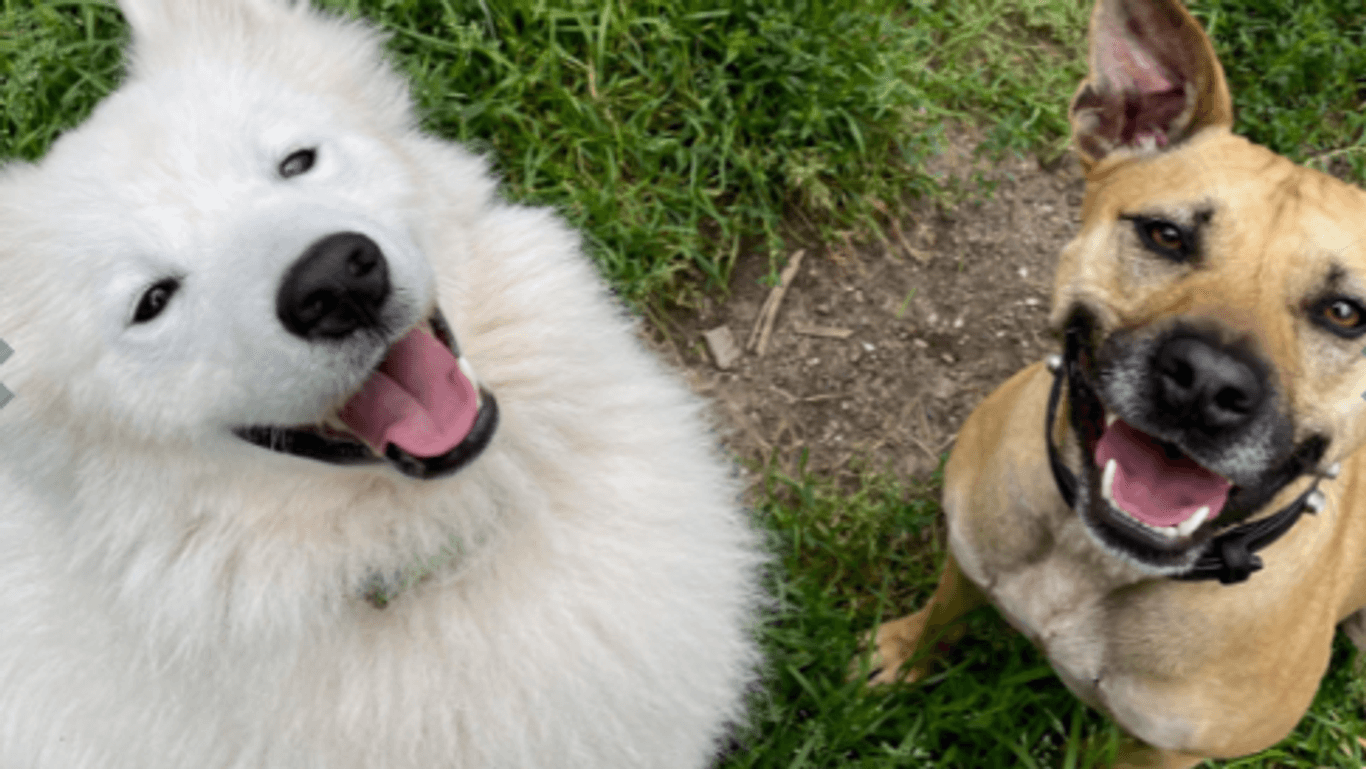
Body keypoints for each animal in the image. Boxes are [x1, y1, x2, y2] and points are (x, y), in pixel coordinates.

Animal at [863, 0, 1366, 764]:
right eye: (1165, 235)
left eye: (1344, 313)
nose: (1206, 385)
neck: (1090, 558)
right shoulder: (970, 553)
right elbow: (944, 609)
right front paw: (903, 653)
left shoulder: (1163, 749)